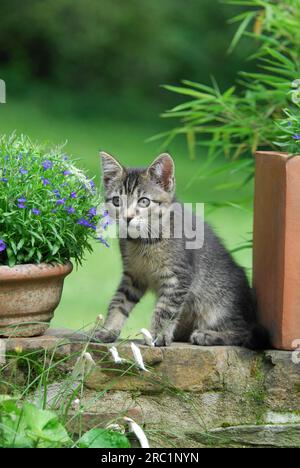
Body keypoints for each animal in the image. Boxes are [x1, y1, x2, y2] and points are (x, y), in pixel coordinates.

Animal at [97, 152, 268, 350]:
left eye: (144, 201)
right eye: (117, 201)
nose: (127, 217)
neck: (143, 240)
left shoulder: (179, 277)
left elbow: (165, 309)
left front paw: (158, 336)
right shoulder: (133, 276)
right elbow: (119, 302)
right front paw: (108, 330)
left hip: (218, 306)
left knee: (244, 333)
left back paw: (207, 335)